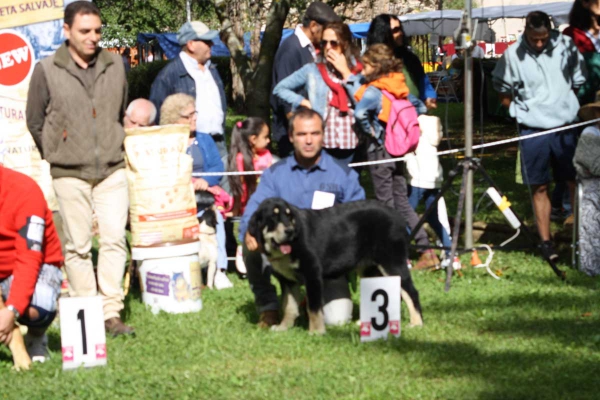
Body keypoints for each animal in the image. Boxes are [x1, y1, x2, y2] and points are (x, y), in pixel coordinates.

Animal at [246, 198, 424, 334]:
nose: (289, 231)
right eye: (273, 217)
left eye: (289, 217)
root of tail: (397, 214)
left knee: (411, 293)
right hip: (370, 270)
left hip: (392, 263)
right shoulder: (288, 281)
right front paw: (284, 327)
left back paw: (416, 322)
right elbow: (289, 306)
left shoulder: (312, 275)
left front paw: (316, 331)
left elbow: (313, 307)